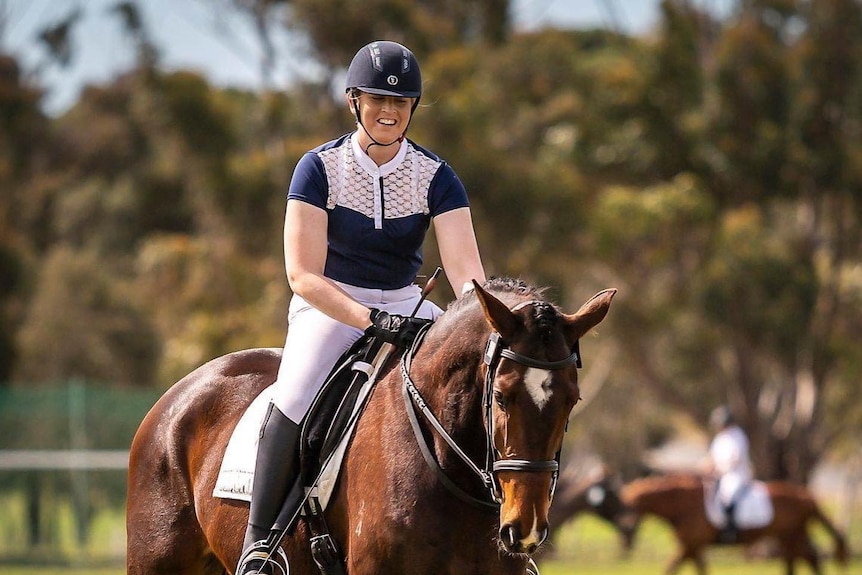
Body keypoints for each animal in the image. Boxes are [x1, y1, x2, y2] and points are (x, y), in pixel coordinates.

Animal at [616, 472, 848, 575]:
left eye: (627, 504)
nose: (624, 527)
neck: (683, 504)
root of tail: (805, 495)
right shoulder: (693, 547)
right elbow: (695, 568)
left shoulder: (690, 546)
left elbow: (671, 568)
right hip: (790, 537)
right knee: (800, 559)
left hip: (792, 535)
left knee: (809, 558)